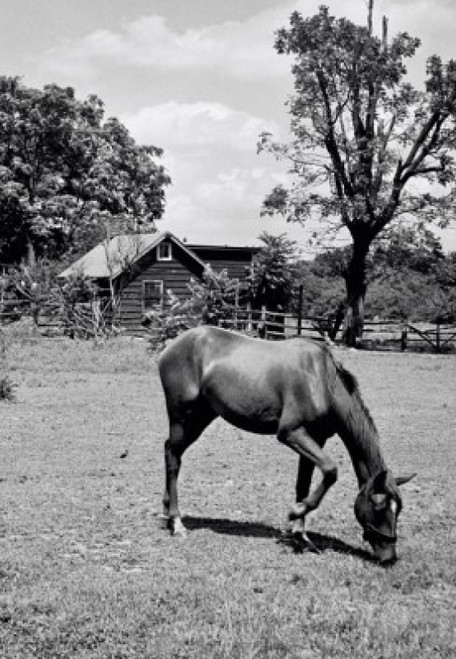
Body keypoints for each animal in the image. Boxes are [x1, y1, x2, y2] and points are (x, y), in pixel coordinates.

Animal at [158, 325, 415, 565]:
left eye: (399, 507)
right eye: (380, 506)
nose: (389, 557)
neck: (322, 380)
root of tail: (171, 346)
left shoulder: (315, 438)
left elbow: (303, 484)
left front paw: (301, 535)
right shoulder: (291, 433)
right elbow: (330, 470)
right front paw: (295, 512)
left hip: (201, 417)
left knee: (171, 452)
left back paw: (167, 512)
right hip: (183, 418)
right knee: (173, 456)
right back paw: (177, 522)